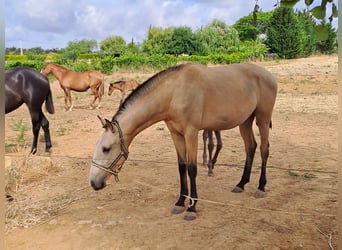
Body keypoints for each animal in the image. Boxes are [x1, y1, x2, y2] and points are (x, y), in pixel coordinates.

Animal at [89, 62, 278, 221]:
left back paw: (261, 187)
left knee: (264, 149)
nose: (93, 183)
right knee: (250, 147)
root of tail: (269, 75)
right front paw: (180, 202)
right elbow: (182, 167)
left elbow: (192, 168)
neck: (174, 93)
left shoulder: (191, 133)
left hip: (262, 119)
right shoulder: (176, 134)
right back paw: (241, 183)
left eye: (106, 149)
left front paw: (192, 207)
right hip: (245, 121)